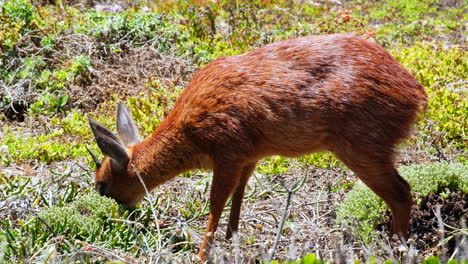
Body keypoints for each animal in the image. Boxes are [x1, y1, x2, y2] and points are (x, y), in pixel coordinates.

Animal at [88, 34, 428, 260]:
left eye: (102, 185)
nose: (116, 216)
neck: (188, 131)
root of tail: (416, 93)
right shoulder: (249, 156)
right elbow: (239, 197)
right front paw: (233, 240)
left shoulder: (227, 150)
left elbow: (215, 203)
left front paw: (202, 254)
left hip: (361, 145)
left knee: (401, 192)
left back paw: (398, 248)